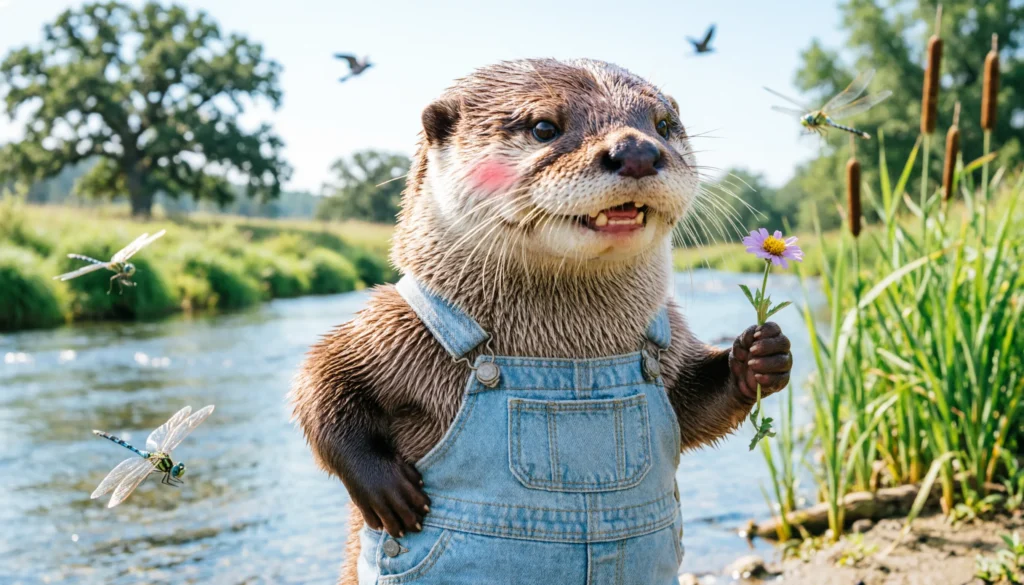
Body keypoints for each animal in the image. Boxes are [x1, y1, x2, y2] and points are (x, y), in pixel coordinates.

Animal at [291, 58, 792, 585]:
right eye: (544, 127)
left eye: (663, 125)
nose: (636, 150)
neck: (569, 349)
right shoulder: (395, 327)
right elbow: (322, 378)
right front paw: (384, 488)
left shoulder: (670, 338)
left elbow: (694, 408)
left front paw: (759, 357)